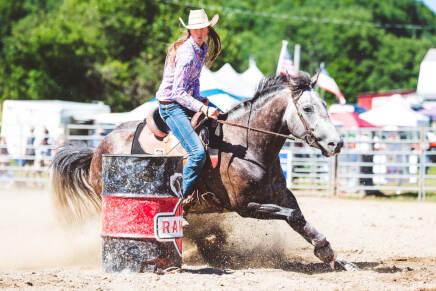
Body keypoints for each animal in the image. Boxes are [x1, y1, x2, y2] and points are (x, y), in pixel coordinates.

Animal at [52, 72, 358, 272]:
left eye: (326, 106)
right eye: (307, 108)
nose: (336, 143)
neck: (249, 144)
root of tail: (97, 150)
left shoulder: (281, 195)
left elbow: (298, 217)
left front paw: (331, 254)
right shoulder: (245, 205)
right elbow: (292, 215)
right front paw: (326, 252)